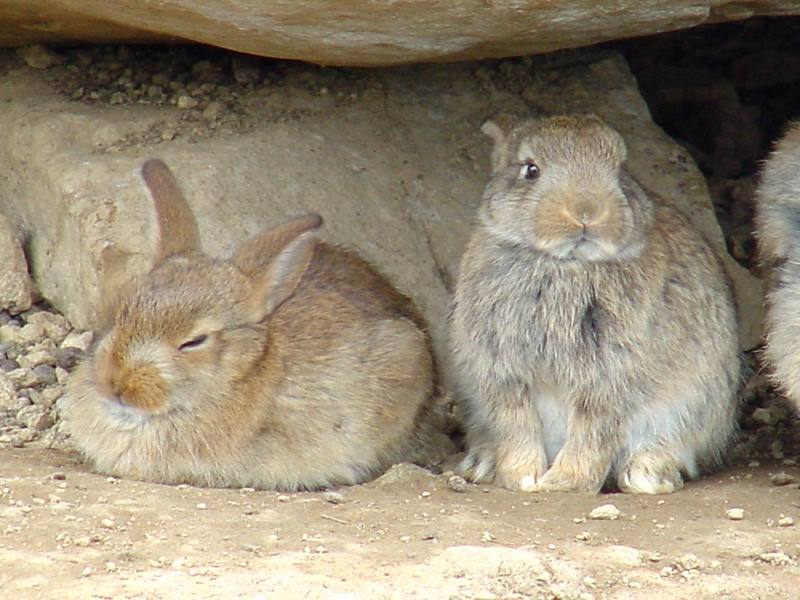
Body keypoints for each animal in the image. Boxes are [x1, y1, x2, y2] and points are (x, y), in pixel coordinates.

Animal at [450, 115, 744, 494]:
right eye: (531, 170)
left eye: (618, 169)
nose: (586, 211)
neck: (566, 264)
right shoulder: (504, 371)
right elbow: (517, 425)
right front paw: (524, 478)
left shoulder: (612, 376)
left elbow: (594, 431)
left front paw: (563, 483)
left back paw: (648, 475)